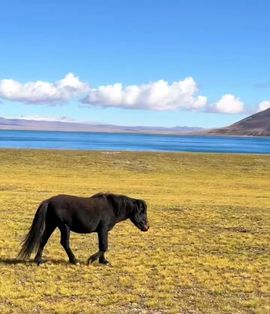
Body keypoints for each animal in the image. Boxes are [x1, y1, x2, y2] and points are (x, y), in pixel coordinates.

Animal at [17, 193, 149, 264]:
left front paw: (103, 261)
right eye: (141, 211)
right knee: (64, 243)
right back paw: (74, 260)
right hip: (64, 226)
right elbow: (104, 246)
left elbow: (103, 246)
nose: (147, 227)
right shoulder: (102, 229)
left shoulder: (103, 231)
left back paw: (38, 260)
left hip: (52, 225)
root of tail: (49, 201)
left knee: (44, 239)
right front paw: (92, 259)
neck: (112, 208)